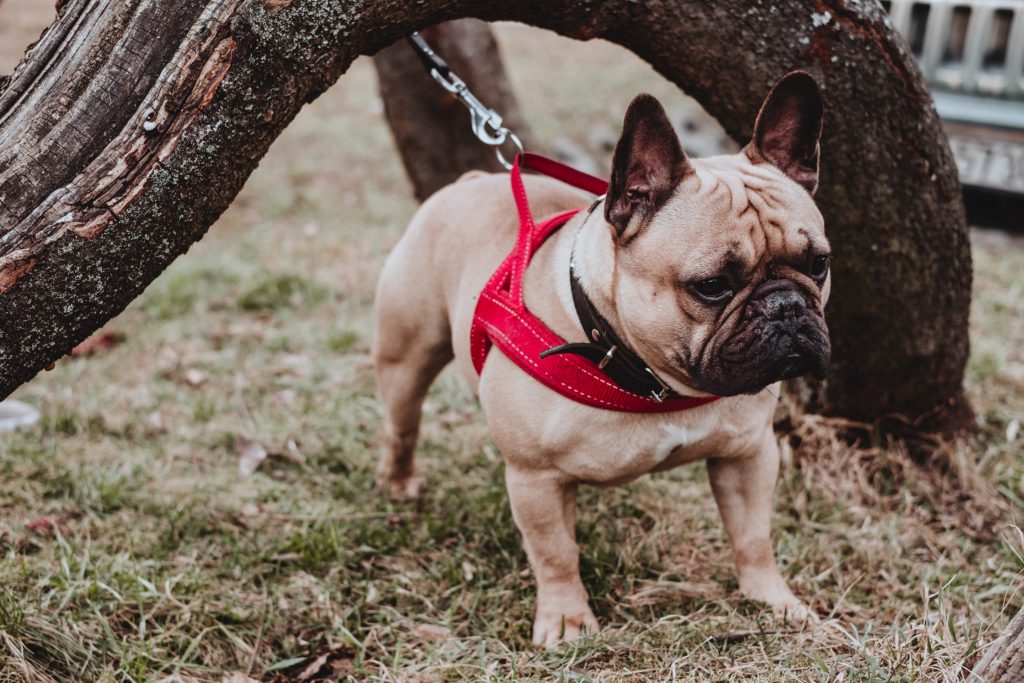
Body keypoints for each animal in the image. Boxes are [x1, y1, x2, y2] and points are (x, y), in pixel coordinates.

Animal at [372, 73, 827, 647]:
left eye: (819, 264)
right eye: (712, 286)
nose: (786, 306)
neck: (653, 382)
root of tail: (471, 178)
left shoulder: (747, 455)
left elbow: (753, 536)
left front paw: (775, 603)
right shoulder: (535, 478)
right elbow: (555, 553)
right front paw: (567, 621)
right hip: (405, 356)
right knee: (401, 424)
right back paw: (398, 483)